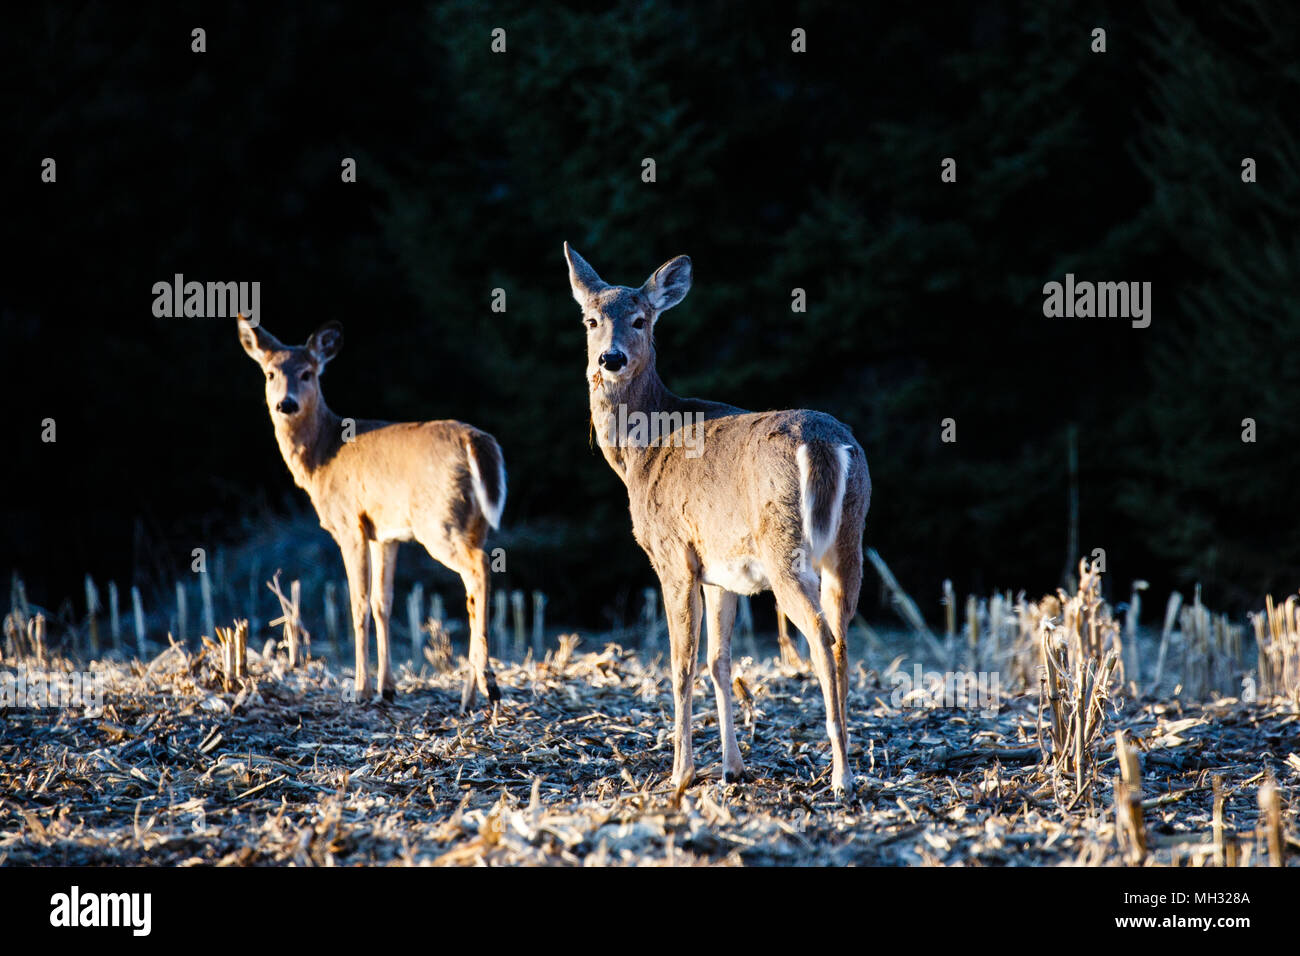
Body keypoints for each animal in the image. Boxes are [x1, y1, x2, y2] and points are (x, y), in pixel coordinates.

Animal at [236, 315, 506, 711]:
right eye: (271, 373)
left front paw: (360, 689)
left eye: (307, 373)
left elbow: (359, 604)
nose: (286, 404)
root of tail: (477, 441)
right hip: (475, 522)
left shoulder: (350, 523)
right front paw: (387, 688)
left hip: (438, 521)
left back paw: (489, 684)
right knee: (471, 590)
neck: (322, 458)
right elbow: (383, 603)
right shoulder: (385, 534)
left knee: (480, 567)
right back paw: (469, 696)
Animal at [563, 243, 871, 799]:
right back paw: (846, 763)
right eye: (591, 320)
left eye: (640, 320)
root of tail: (823, 444)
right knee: (841, 634)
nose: (610, 359)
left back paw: (841, 775)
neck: (641, 452)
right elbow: (718, 662)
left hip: (784, 547)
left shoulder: (673, 554)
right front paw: (732, 768)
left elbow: (680, 661)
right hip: (849, 541)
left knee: (820, 636)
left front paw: (680, 774)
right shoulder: (721, 572)